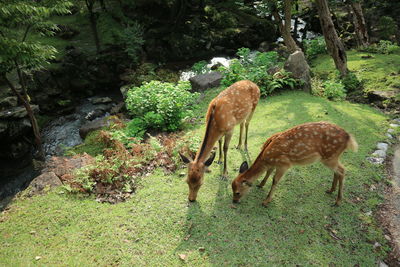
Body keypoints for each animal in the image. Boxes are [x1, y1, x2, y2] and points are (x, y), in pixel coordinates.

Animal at [231, 121, 360, 207]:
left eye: (237, 192)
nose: (234, 201)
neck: (266, 157)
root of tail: (349, 138)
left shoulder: (284, 164)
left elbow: (275, 180)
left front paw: (266, 201)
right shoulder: (274, 164)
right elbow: (268, 172)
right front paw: (261, 184)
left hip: (330, 156)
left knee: (342, 170)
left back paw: (338, 201)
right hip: (332, 157)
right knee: (338, 171)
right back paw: (331, 190)